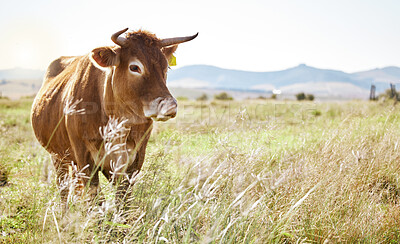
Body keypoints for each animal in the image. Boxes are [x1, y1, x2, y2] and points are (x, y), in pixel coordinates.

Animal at [30, 27, 198, 205]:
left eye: (165, 67)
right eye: (134, 67)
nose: (169, 105)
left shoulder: (132, 162)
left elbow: (123, 201)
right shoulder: (85, 160)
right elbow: (96, 199)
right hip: (58, 157)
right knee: (64, 190)